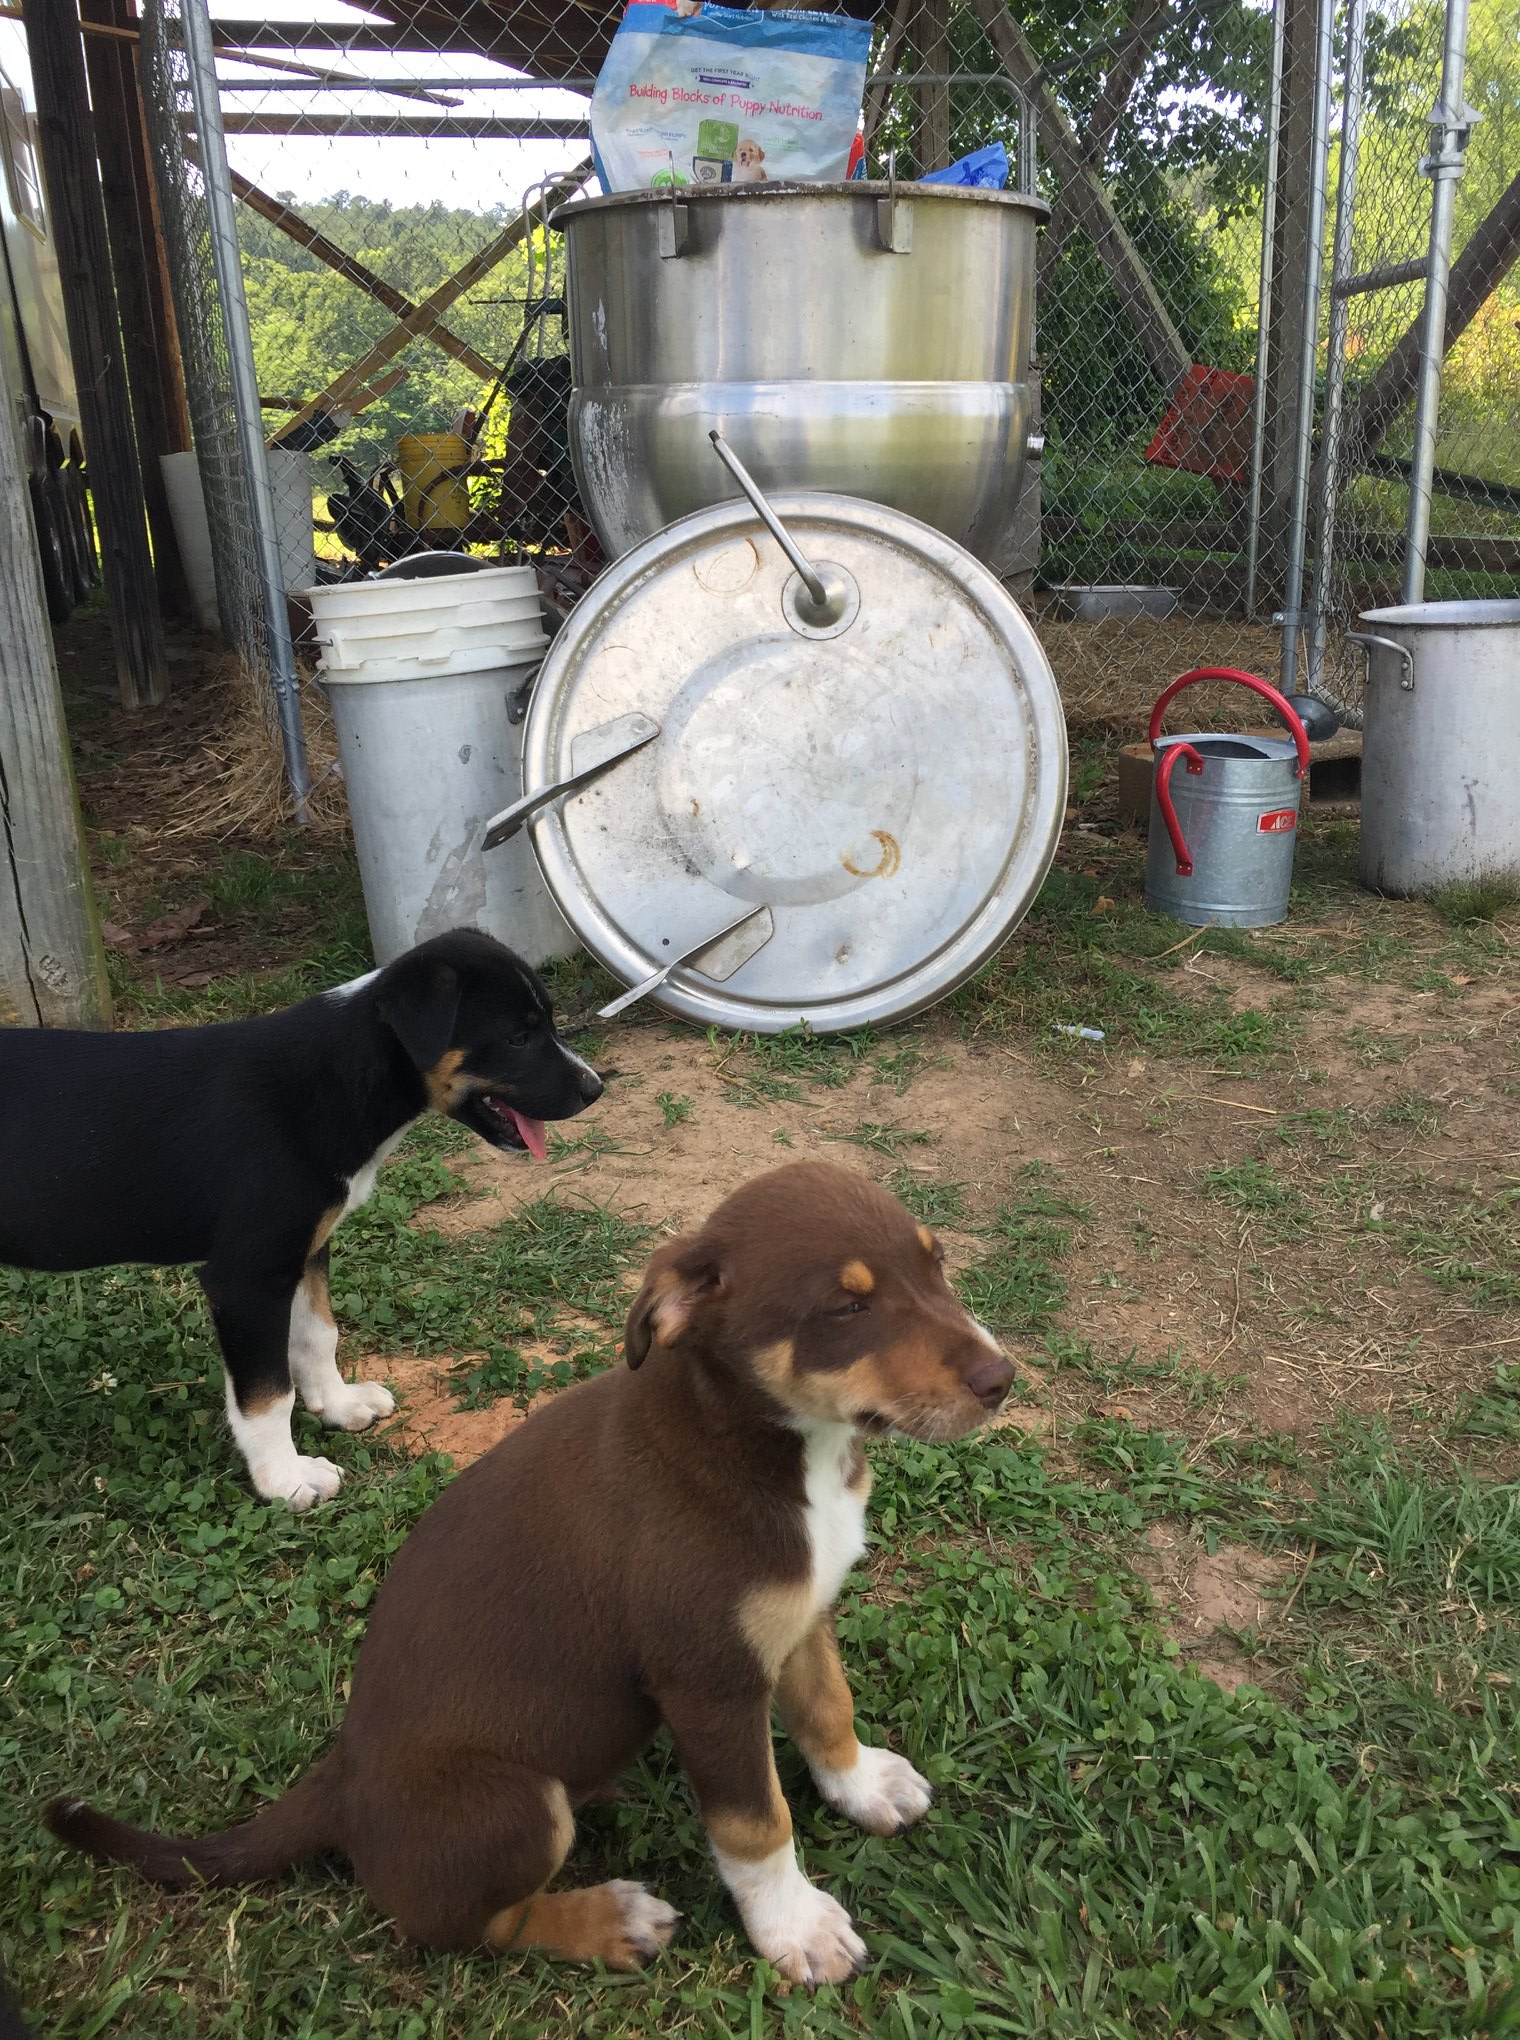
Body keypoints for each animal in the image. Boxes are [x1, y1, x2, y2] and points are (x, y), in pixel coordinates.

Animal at [1, 930, 601, 1510]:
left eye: (547, 1024)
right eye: (518, 1038)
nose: (596, 1088)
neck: (335, 1078)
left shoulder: (308, 1251)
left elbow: (317, 1334)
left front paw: (337, 1405)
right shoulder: (248, 1277)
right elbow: (268, 1394)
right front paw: (285, 1480)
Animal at [45, 1162, 1014, 1986]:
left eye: (937, 1265)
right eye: (845, 1309)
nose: (1003, 1377)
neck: (761, 1444)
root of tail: (341, 1782)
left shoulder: (798, 1615)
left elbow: (825, 1705)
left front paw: (862, 1785)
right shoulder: (708, 1682)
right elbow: (755, 1823)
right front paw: (796, 1927)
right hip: (518, 1802)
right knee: (466, 1925)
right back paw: (607, 1920)